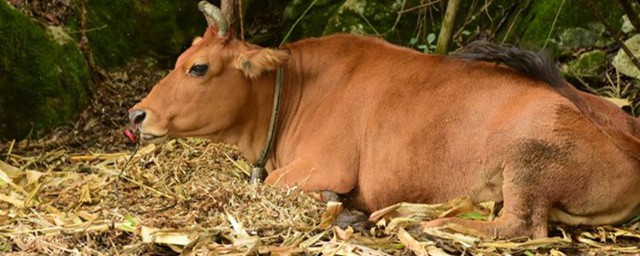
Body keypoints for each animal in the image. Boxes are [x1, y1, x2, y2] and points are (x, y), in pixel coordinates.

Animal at [129, 1, 640, 238]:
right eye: (180, 58)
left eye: (198, 68)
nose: (137, 113)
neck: (293, 90)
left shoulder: (326, 166)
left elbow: (275, 187)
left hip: (528, 158)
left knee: (517, 226)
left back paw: (416, 224)